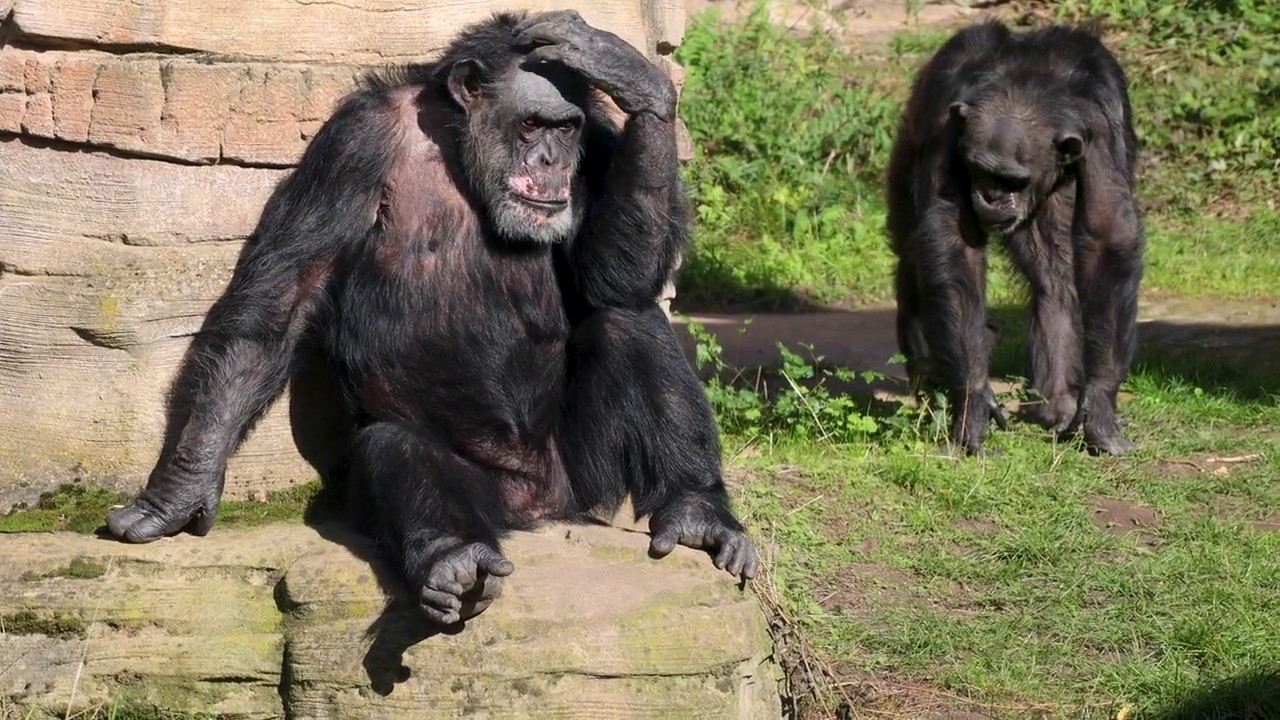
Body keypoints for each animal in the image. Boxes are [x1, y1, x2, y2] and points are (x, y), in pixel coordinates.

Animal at [107, 9, 757, 622]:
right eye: (532, 124)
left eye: (566, 127)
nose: (552, 161)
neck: (458, 149)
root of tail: (541, 509)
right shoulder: (353, 143)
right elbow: (280, 304)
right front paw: (180, 490)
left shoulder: (598, 143)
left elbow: (611, 279)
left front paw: (631, 75)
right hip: (486, 491)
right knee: (394, 446)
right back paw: (456, 560)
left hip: (586, 475)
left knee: (629, 319)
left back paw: (696, 510)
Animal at [885, 20, 1146, 453]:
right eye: (979, 169)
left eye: (1012, 180)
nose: (991, 196)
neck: (1026, 86)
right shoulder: (946, 118)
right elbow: (952, 239)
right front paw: (972, 398)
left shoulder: (1101, 125)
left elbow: (1106, 232)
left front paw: (1098, 403)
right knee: (911, 252)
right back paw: (927, 376)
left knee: (1054, 278)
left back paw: (1057, 403)